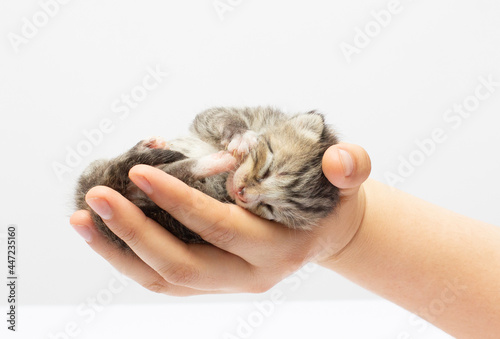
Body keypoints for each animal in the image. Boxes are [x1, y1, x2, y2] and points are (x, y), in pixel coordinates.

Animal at [74, 107, 340, 251]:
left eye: (270, 209)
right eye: (267, 169)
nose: (242, 193)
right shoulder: (241, 115)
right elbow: (219, 117)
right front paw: (241, 136)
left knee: (171, 173)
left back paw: (216, 161)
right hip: (98, 169)